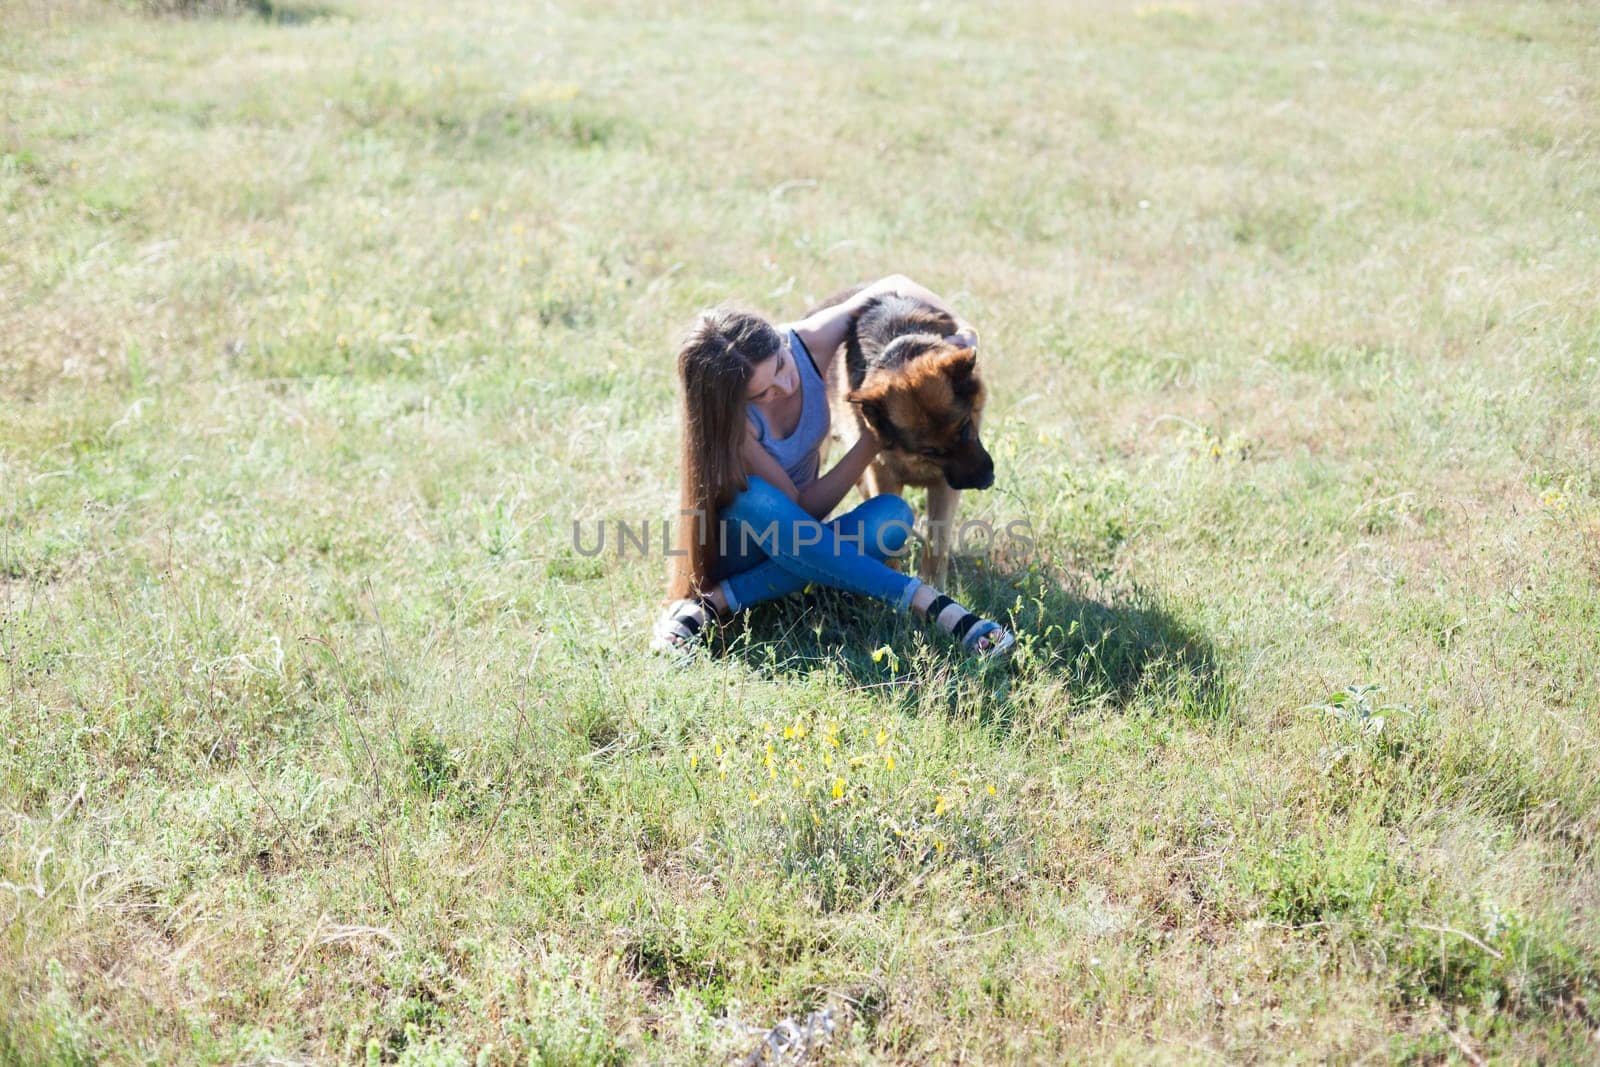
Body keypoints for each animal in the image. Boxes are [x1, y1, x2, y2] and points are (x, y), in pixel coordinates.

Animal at [819, 286, 992, 585]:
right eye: (930, 450)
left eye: (964, 427)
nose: (986, 481)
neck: (899, 349)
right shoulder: (884, 476)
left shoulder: (944, 486)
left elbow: (937, 542)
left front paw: (932, 585)